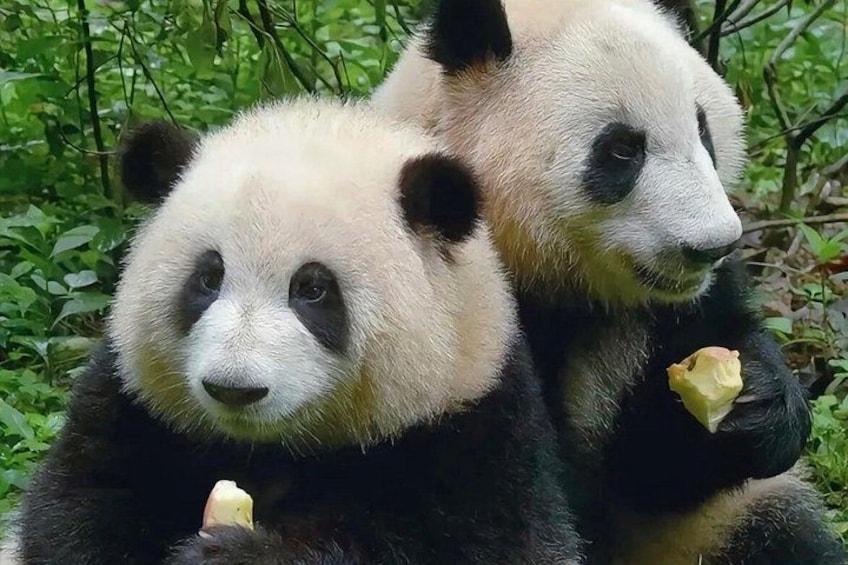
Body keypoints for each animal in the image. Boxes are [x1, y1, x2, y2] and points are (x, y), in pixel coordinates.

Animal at [9, 98, 583, 564]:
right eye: (208, 277)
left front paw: (234, 555)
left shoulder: (474, 433)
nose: (234, 388)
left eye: (312, 289)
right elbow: (74, 508)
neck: (268, 449)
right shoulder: (132, 405)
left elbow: (449, 543)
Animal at [372, 0, 848, 563]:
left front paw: (757, 401)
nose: (712, 246)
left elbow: (651, 465)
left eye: (704, 129)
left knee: (780, 530)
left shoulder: (673, 310)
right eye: (622, 149)